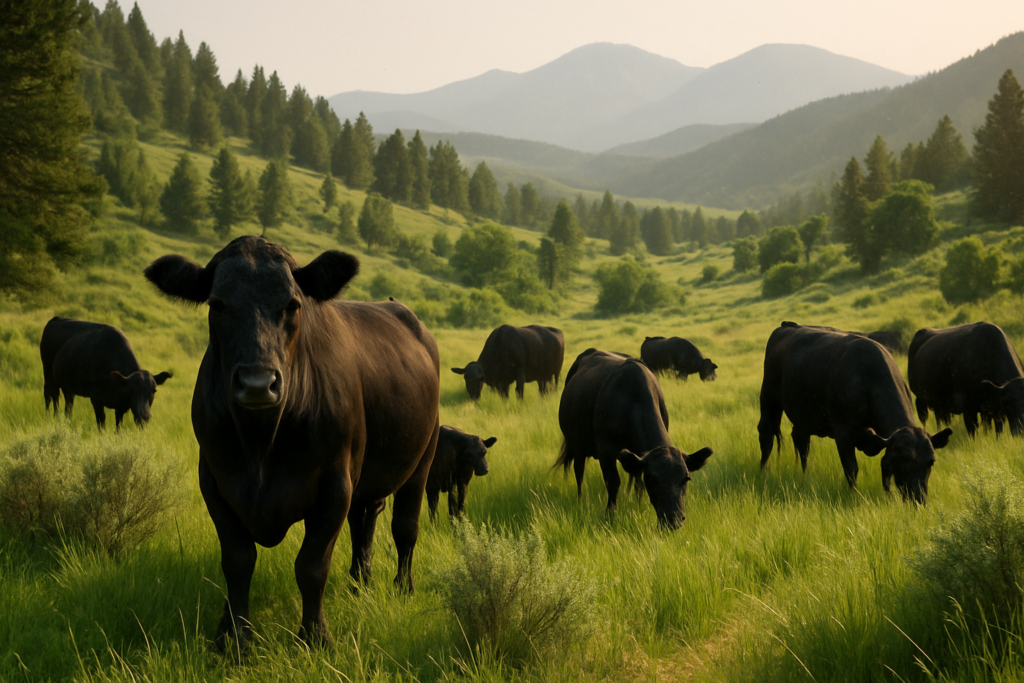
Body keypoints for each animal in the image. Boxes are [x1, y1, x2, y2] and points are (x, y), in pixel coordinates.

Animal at [39, 317, 172, 430]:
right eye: (132, 390)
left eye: (154, 390)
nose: (144, 416)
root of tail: (56, 319)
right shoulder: (96, 398)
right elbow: (101, 422)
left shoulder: (120, 407)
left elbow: (118, 426)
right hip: (47, 371)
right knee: (50, 395)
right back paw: (50, 417)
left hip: (67, 384)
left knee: (68, 401)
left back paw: (65, 420)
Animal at [144, 235, 440, 648]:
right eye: (217, 304)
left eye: (292, 304)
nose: (257, 383)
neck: (260, 444)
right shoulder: (215, 482)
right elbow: (237, 561)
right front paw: (233, 638)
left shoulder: (334, 485)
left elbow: (311, 566)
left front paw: (315, 637)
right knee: (364, 522)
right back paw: (359, 584)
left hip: (422, 458)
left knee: (405, 528)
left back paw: (402, 588)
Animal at [554, 348, 713, 529]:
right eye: (653, 478)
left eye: (686, 478)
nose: (674, 519)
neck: (633, 399)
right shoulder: (606, 450)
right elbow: (613, 481)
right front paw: (611, 513)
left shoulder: (639, 455)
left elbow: (638, 483)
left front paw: (638, 505)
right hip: (576, 444)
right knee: (579, 472)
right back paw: (580, 501)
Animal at [758, 321, 952, 503]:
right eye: (903, 459)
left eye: (931, 461)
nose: (918, 498)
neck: (869, 379)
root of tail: (787, 325)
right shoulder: (843, 433)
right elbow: (851, 468)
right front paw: (854, 495)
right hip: (769, 397)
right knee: (766, 434)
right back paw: (763, 472)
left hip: (803, 414)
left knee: (801, 441)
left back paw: (806, 475)